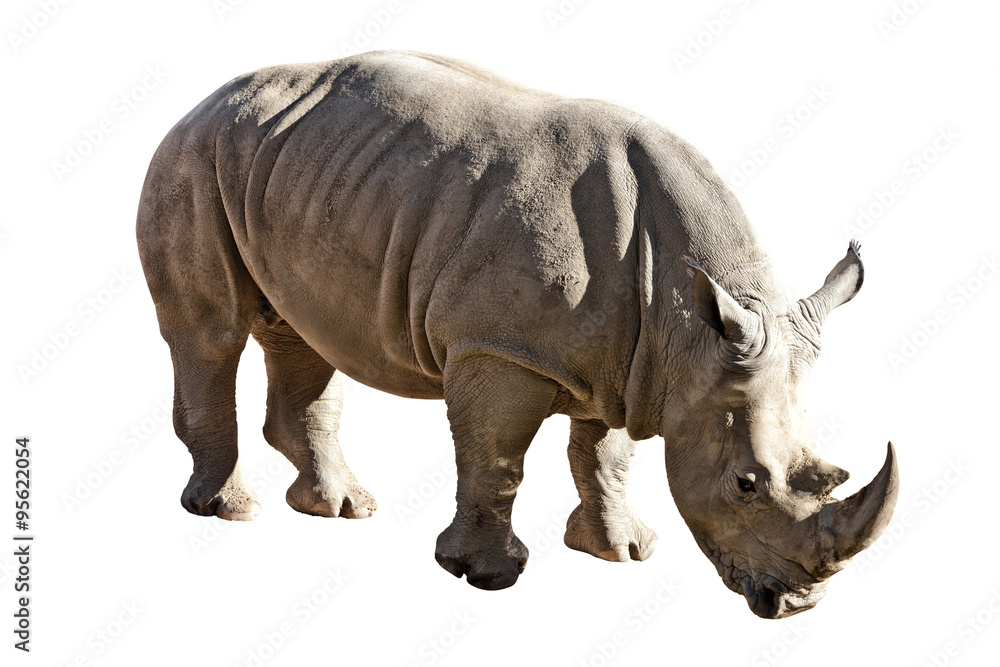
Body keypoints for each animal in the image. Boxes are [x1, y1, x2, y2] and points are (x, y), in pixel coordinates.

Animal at [137, 50, 898, 618]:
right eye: (745, 483)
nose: (795, 603)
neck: (688, 320)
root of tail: (206, 99)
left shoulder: (638, 365)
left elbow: (606, 458)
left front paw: (620, 552)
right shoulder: (500, 349)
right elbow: (496, 458)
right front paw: (483, 574)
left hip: (293, 168)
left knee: (303, 331)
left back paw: (341, 508)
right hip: (193, 159)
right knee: (211, 332)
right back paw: (229, 511)